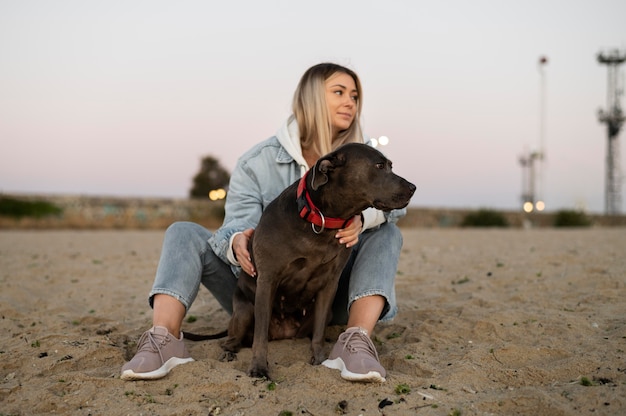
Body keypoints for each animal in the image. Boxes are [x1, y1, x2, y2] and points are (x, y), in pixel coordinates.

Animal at [219, 141, 414, 378]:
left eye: (390, 166)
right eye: (379, 166)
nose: (413, 188)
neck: (322, 219)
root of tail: (284, 333)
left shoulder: (328, 285)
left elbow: (319, 331)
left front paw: (320, 359)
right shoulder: (267, 281)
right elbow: (260, 336)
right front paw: (258, 367)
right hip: (245, 311)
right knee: (234, 338)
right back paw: (228, 351)